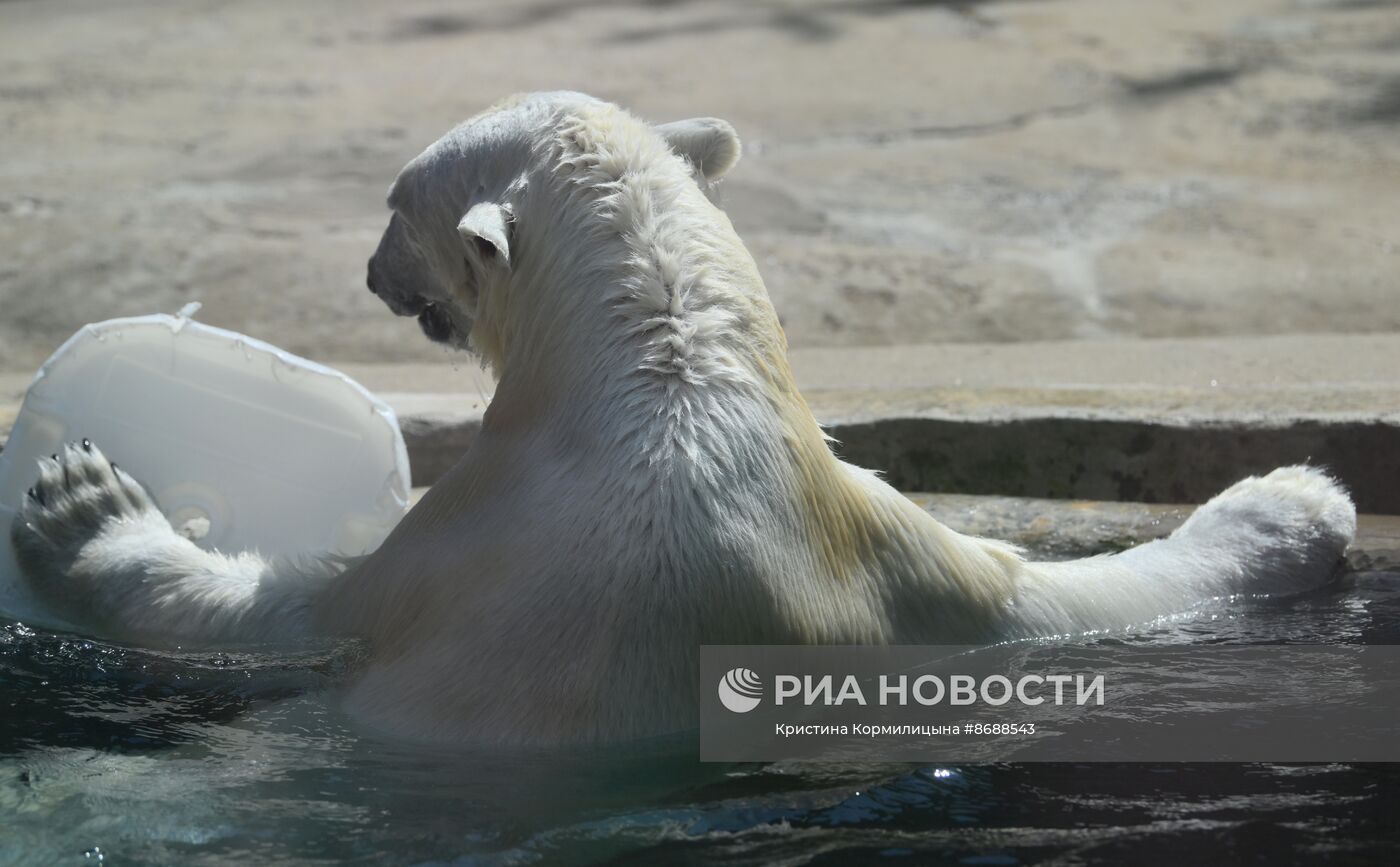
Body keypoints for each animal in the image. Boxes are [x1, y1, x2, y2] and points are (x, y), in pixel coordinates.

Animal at [5, 93, 1349, 745]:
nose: (369, 273)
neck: (668, 388)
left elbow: (264, 617)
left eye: (392, 202)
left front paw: (84, 499)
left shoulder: (455, 554)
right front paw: (1297, 502)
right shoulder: (900, 560)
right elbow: (1078, 597)